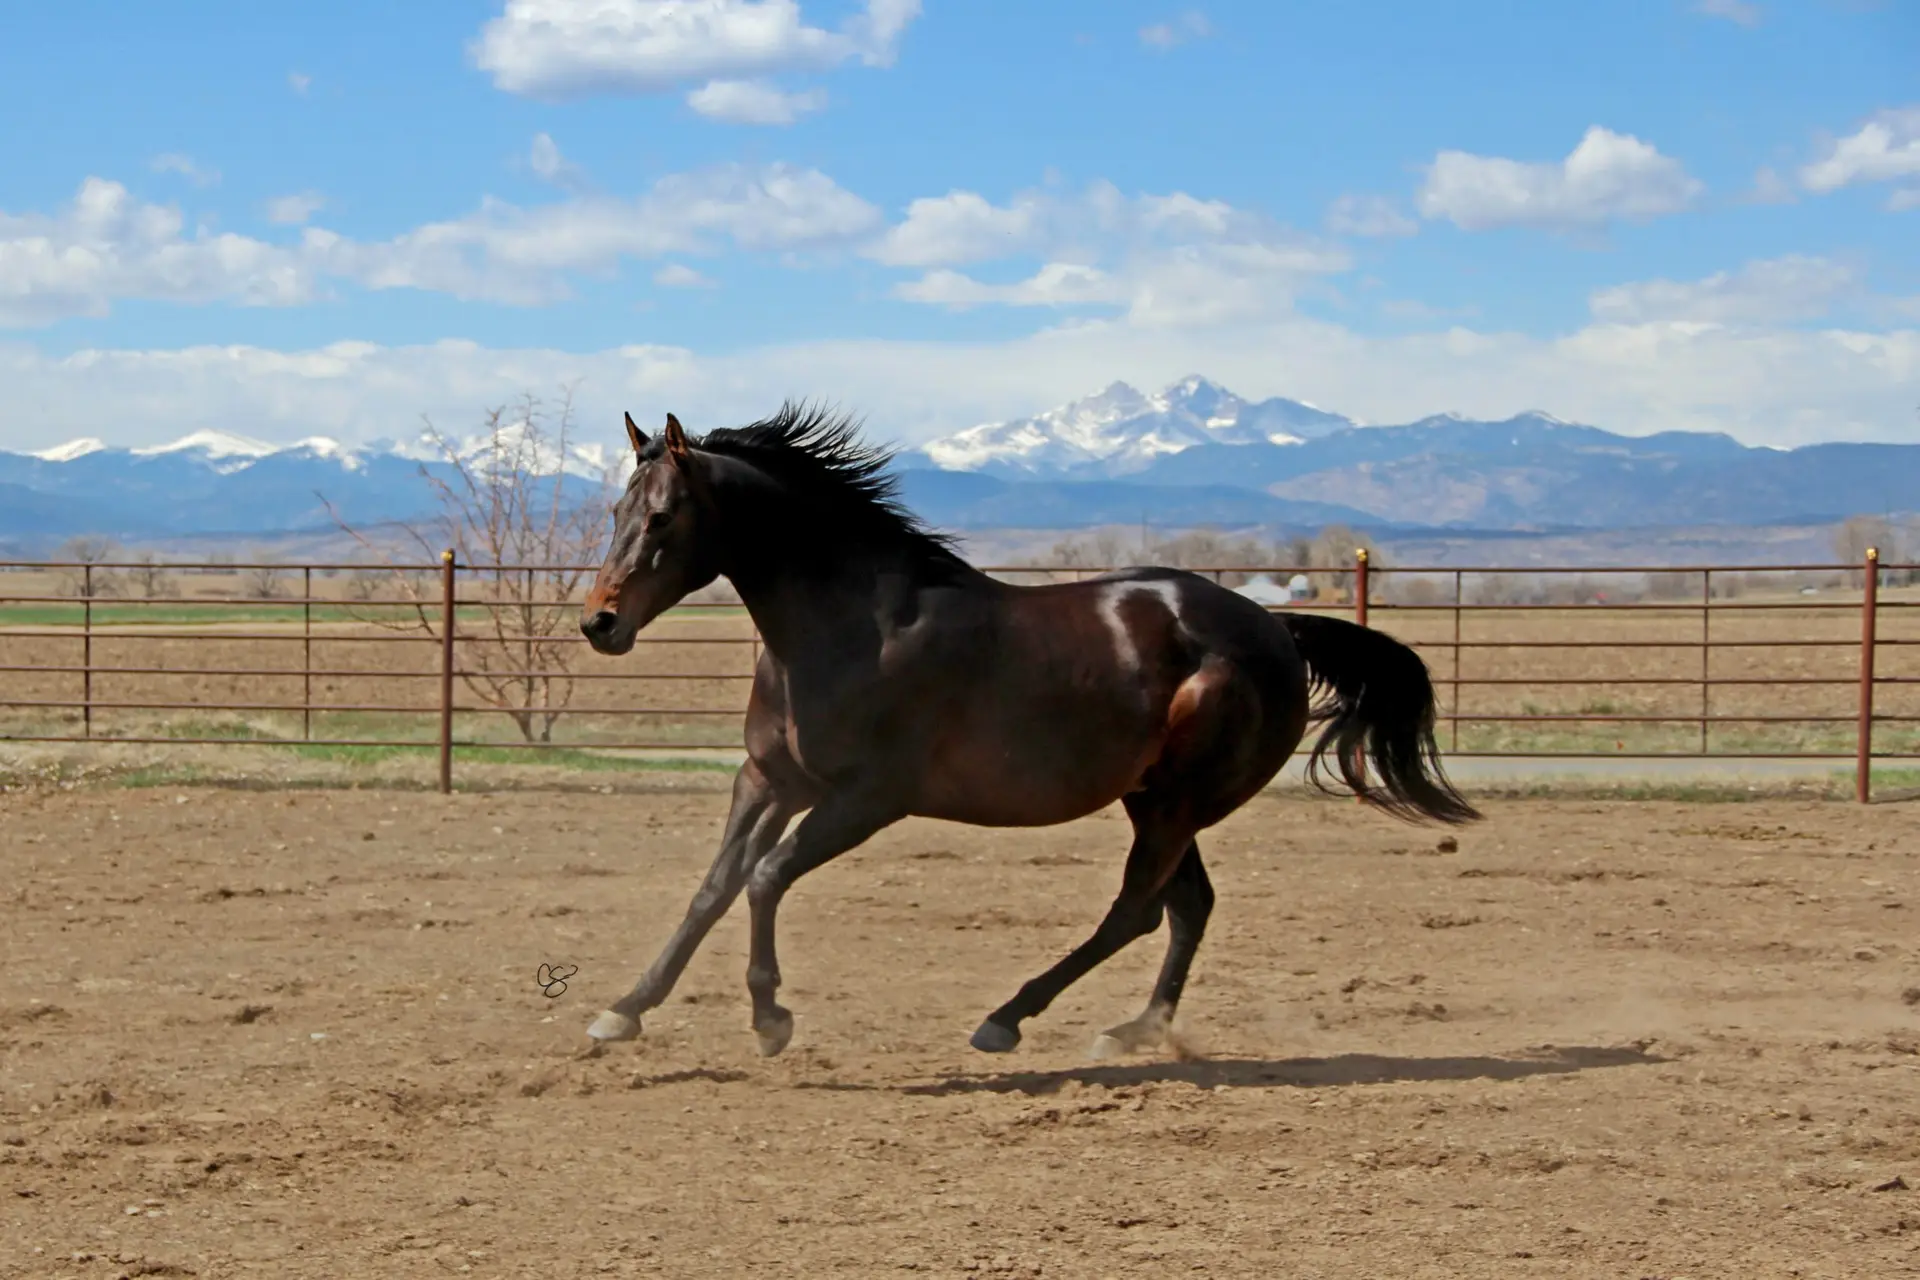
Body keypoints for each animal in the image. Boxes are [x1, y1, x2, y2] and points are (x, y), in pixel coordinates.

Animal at [578, 404, 1479, 1060]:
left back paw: (1007, 1019)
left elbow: (764, 879)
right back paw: (1134, 1031)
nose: (599, 623)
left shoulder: (867, 799)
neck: (849, 628)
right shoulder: (769, 780)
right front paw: (623, 1012)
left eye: (663, 518)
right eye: (618, 510)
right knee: (1188, 907)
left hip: (1176, 803)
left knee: (1137, 910)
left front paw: (770, 1019)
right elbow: (713, 888)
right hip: (1154, 797)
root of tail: (1276, 630)